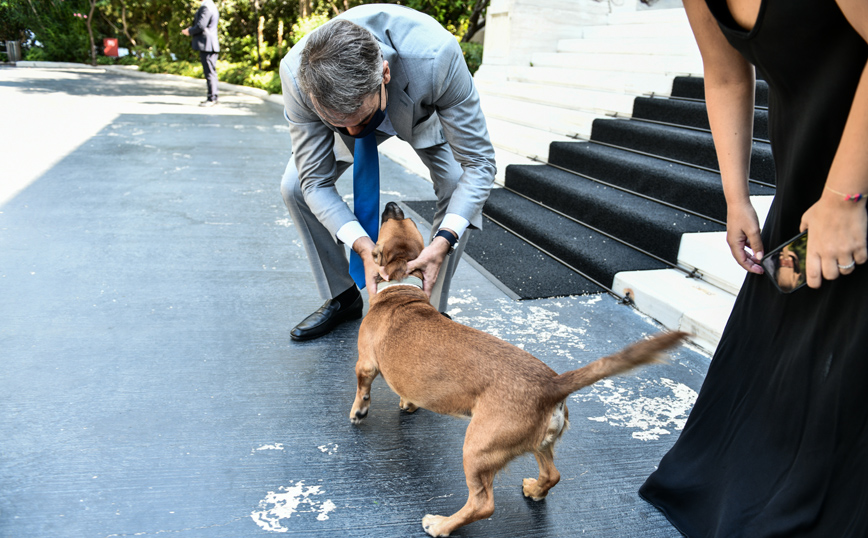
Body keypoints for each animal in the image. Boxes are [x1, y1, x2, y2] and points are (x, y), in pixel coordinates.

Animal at [350, 201, 684, 536]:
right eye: (405, 223)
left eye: (389, 222)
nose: (392, 205)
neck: (402, 285)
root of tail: (553, 384)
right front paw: (407, 404)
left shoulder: (365, 364)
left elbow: (362, 390)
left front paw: (358, 412)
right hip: (538, 443)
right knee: (552, 475)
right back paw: (535, 490)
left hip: (478, 449)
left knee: (483, 504)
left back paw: (441, 524)